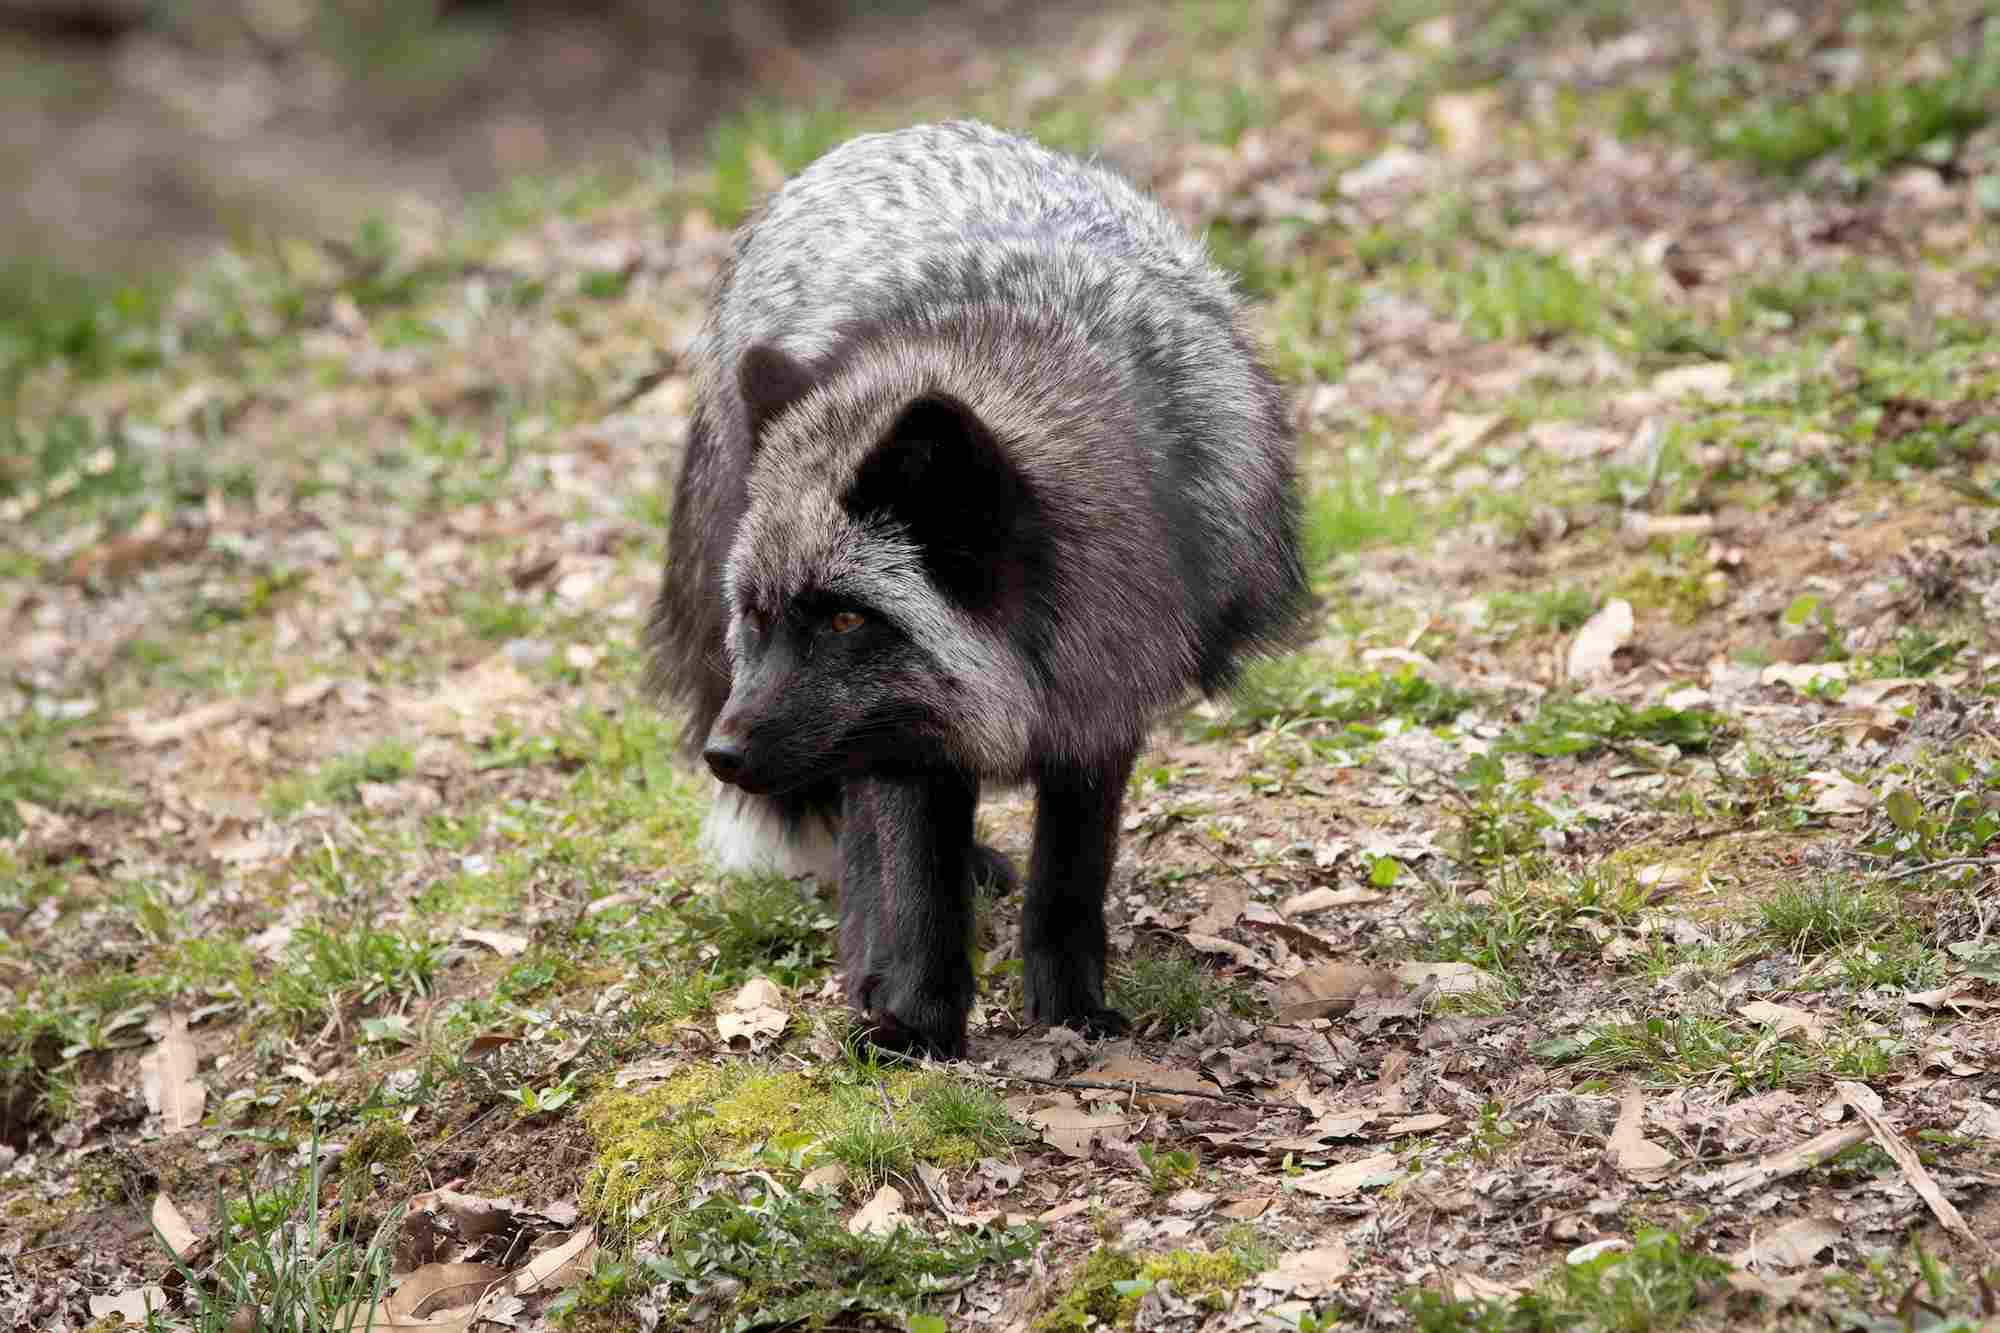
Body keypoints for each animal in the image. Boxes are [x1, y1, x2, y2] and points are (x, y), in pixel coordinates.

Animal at [648, 119, 1304, 1056]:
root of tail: (883, 136)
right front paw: (918, 1020)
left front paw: (1071, 1008)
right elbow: (915, 882)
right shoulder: (906, 738)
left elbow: (1069, 878)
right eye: (760, 616)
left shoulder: (1102, 701)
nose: (722, 756)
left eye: (844, 620)